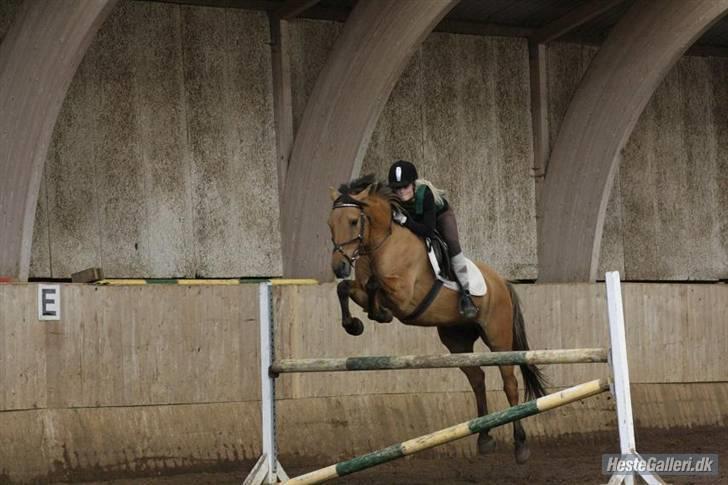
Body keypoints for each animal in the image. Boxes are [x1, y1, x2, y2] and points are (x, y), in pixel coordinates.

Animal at [328, 173, 544, 462]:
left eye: (353, 221)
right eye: (330, 224)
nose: (339, 266)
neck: (381, 242)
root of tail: (501, 281)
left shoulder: (404, 296)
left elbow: (376, 285)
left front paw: (379, 314)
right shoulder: (361, 290)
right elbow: (346, 289)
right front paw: (354, 324)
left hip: (498, 336)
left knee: (509, 383)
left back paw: (521, 445)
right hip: (457, 341)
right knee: (477, 378)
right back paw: (484, 437)